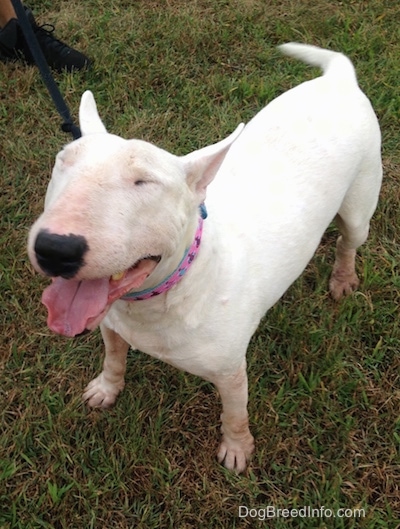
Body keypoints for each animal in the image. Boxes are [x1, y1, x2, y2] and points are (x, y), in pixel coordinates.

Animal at [28, 44, 382, 470]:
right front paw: (106, 389)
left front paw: (237, 449)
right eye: (63, 161)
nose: (54, 249)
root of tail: (339, 79)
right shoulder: (110, 324)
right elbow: (113, 357)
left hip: (361, 204)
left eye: (144, 182)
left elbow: (235, 412)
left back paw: (343, 279)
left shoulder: (230, 370)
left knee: (349, 240)